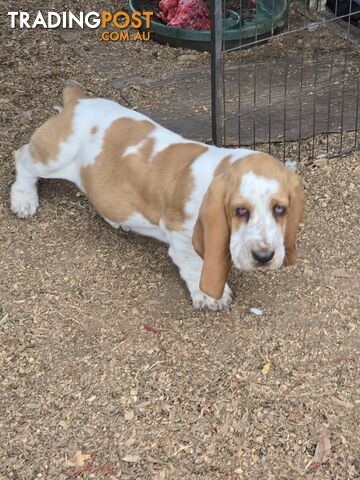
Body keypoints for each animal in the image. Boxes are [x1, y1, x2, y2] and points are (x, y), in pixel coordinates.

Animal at [10, 84, 304, 310]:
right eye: (240, 210)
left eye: (280, 209)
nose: (264, 257)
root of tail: (78, 100)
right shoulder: (182, 236)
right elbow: (195, 265)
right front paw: (210, 296)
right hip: (52, 157)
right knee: (22, 157)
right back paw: (23, 200)